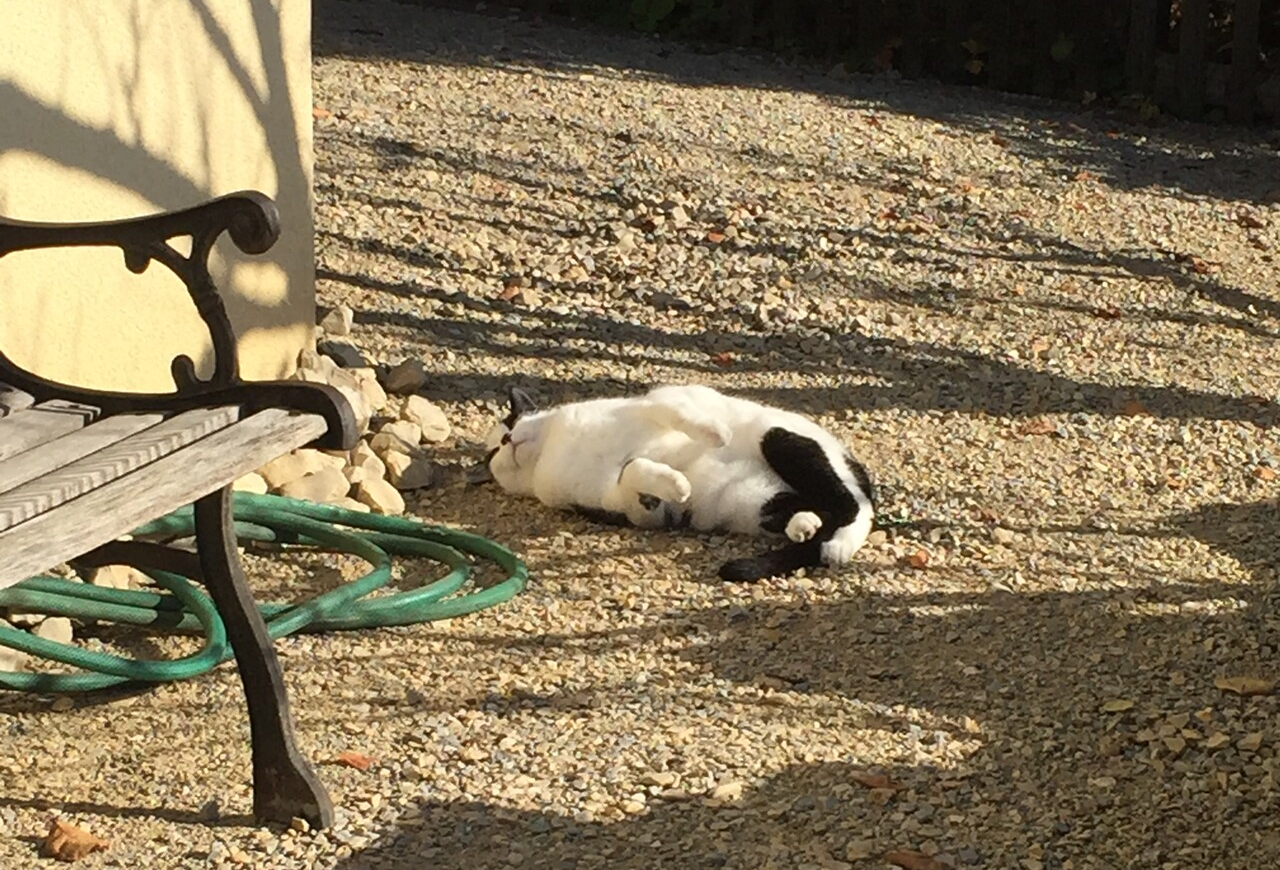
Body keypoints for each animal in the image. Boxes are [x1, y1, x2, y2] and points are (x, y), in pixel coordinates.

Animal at [470, 383, 875, 582]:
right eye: (493, 453)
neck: (552, 449)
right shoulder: (626, 509)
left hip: (780, 438)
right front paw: (676, 485)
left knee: (855, 504)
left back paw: (837, 544)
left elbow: (672, 410)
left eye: (511, 423)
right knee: (823, 511)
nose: (508, 440)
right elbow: (633, 472)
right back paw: (807, 528)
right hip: (757, 501)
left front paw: (715, 434)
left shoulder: (655, 400)